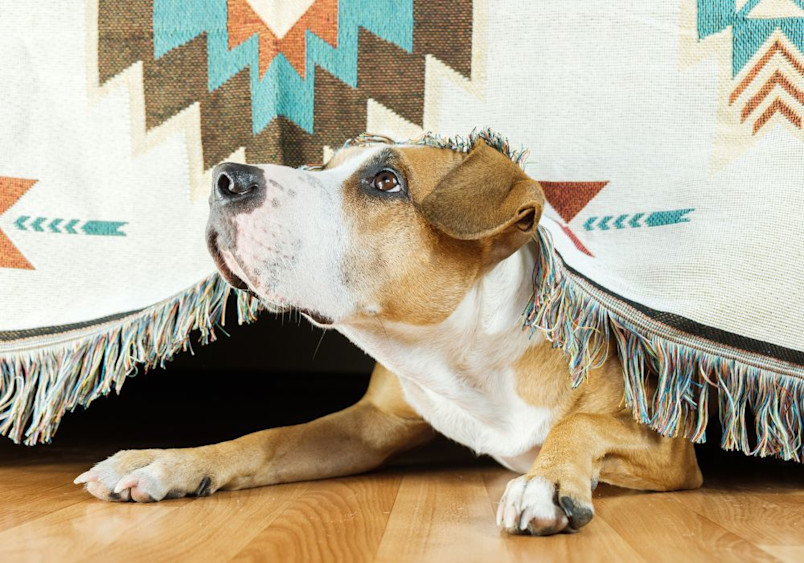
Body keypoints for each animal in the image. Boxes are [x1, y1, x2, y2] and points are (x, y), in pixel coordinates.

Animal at [77, 134, 704, 536]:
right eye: (322, 167)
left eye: (386, 181)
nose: (226, 177)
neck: (464, 356)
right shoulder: (371, 423)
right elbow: (269, 437)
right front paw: (167, 462)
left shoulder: (667, 447)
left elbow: (580, 423)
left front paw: (545, 484)